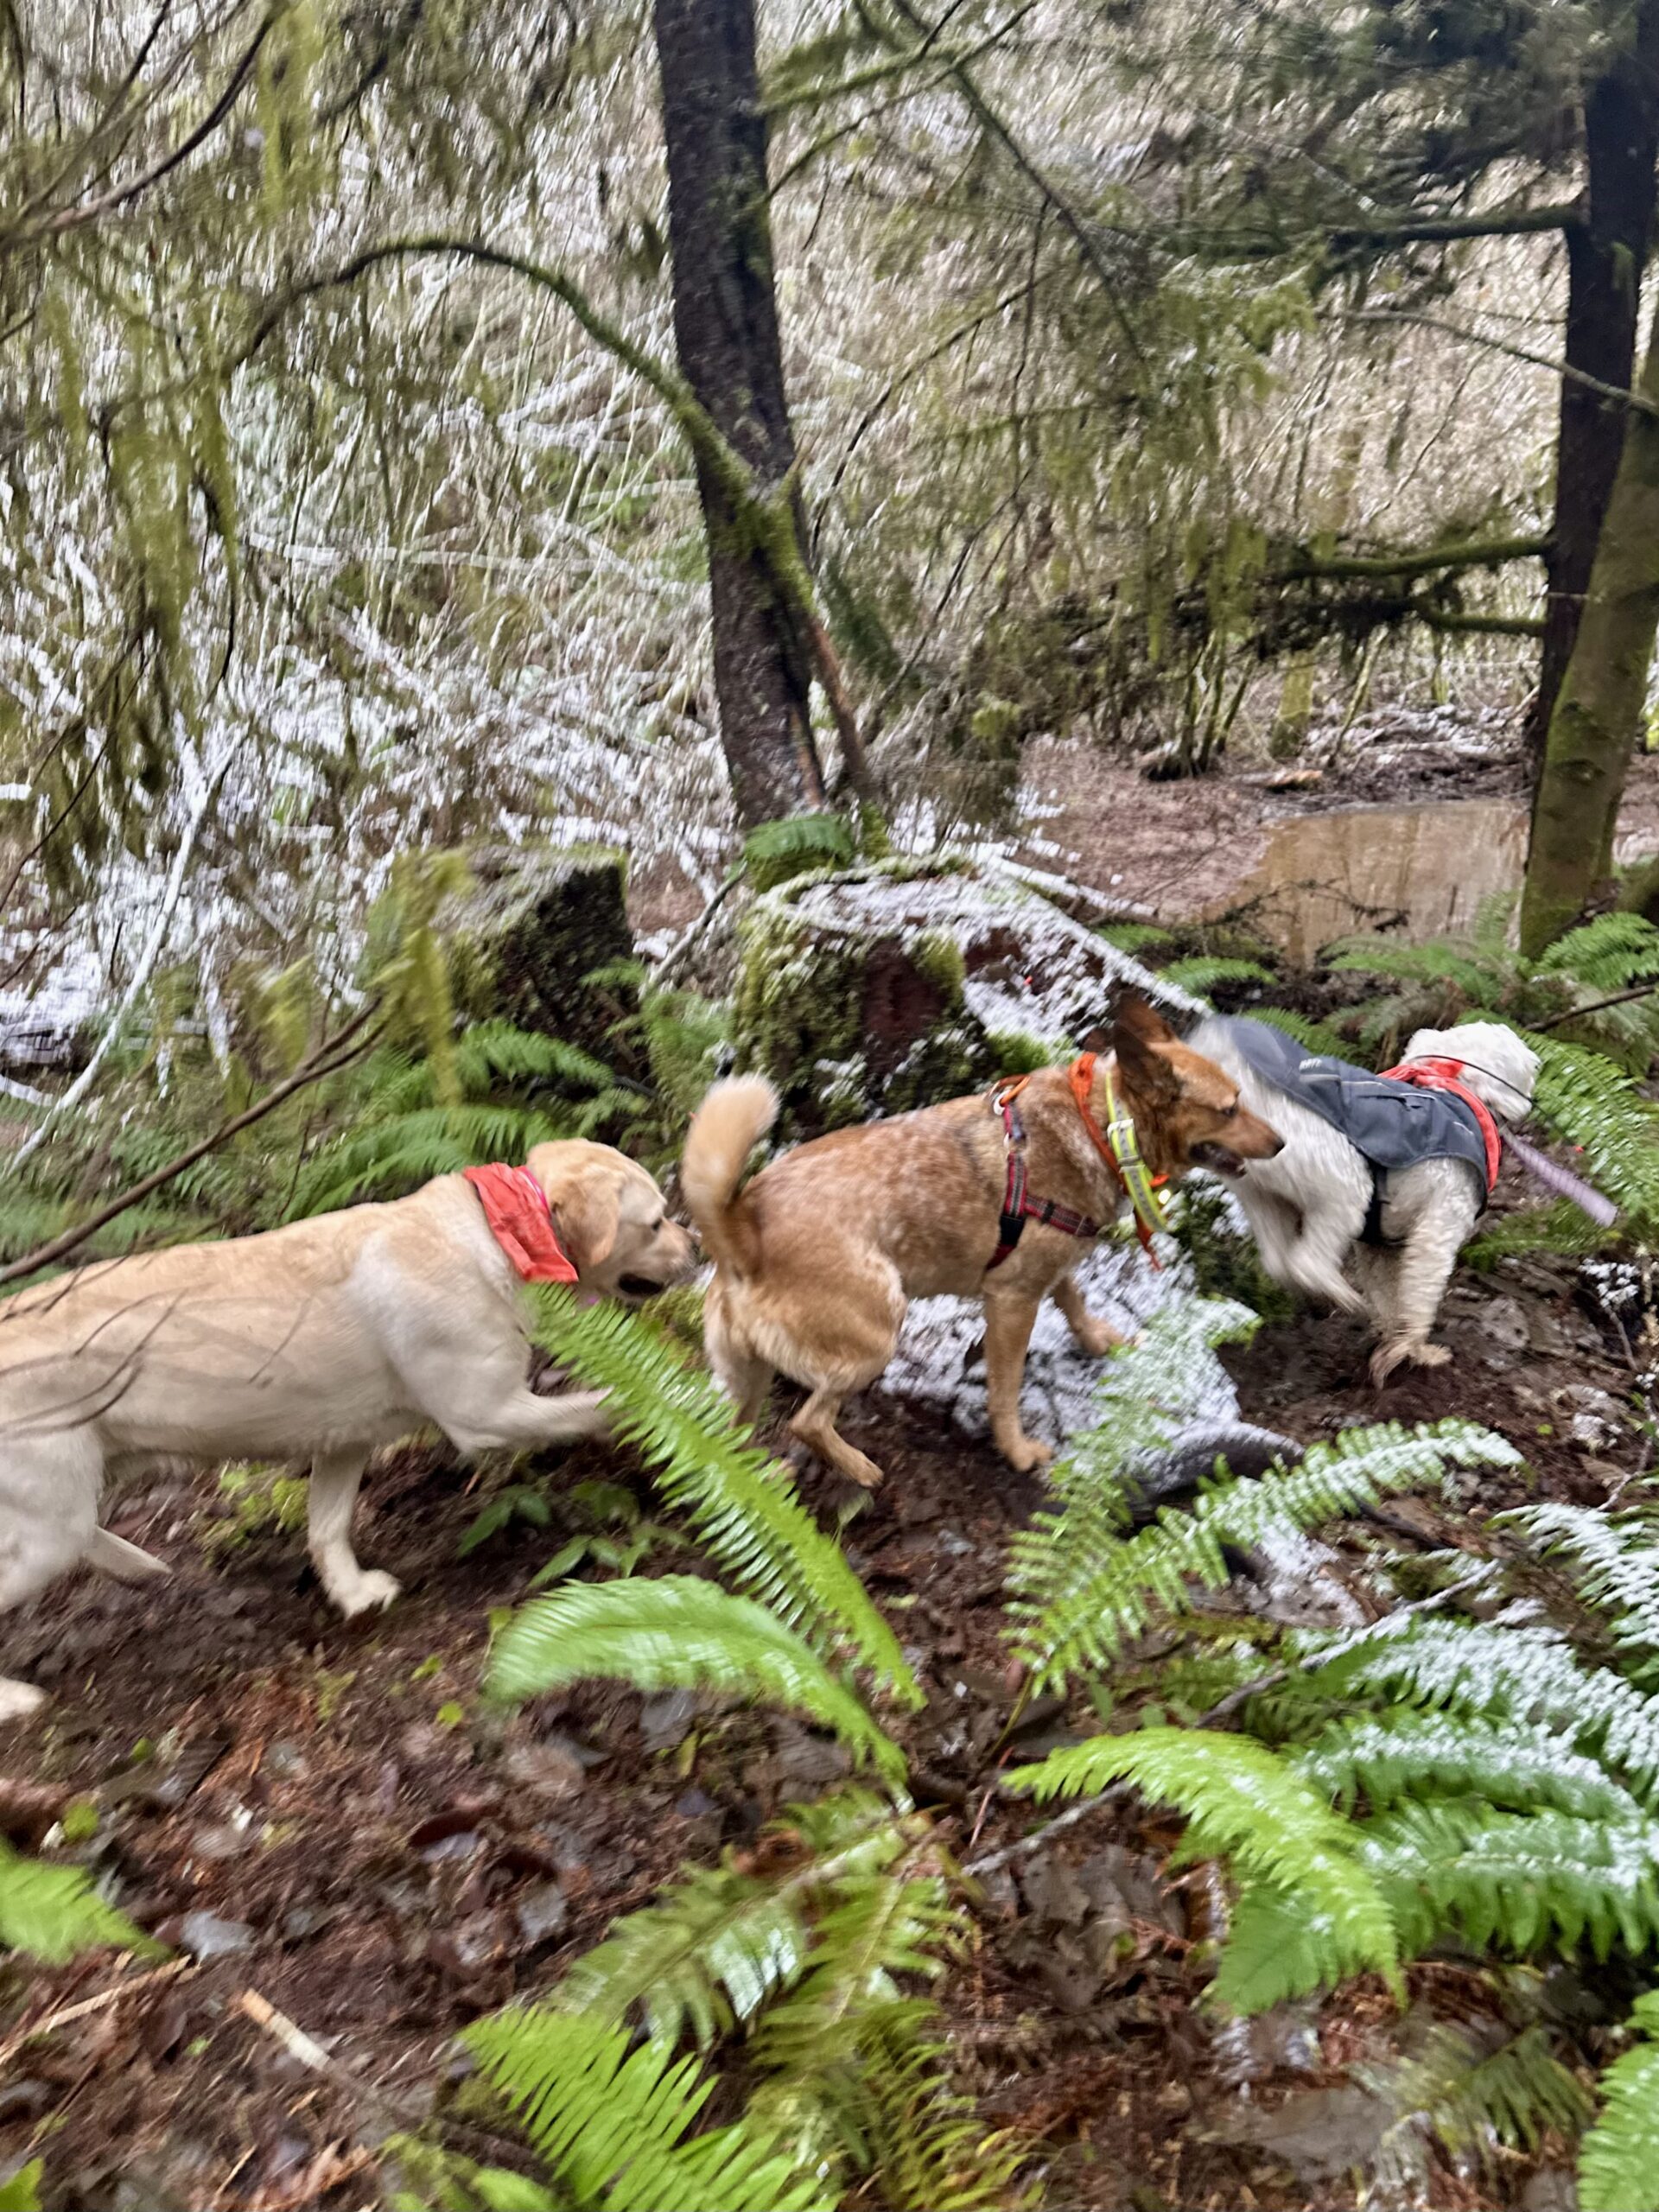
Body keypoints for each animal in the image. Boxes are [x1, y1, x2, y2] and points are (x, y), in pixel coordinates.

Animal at [0, 1141, 694, 1725]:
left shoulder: (343, 1440)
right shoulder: (487, 1413)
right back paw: (17, 1699)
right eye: (657, 1222)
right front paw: (689, 1396)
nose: (696, 1243)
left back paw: (140, 1567)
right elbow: (599, 1406)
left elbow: (328, 1527)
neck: (498, 1233)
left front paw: (353, 1593)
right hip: (49, 1523)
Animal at [681, 1000, 1282, 1486]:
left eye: (1241, 1100)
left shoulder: (1046, 1270)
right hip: (876, 1335)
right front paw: (1016, 1451)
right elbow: (1004, 1391)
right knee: (807, 1421)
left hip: (748, 1379)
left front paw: (1095, 1338)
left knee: (737, 1434)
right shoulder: (1012, 1301)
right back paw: (861, 1470)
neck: (1101, 1127)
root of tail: (741, 1231)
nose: (1280, 1142)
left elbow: (1073, 1296)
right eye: (1229, 1109)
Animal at [1185, 1017, 1539, 1380]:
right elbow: (1420, 1292)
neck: (1454, 1087)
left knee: (1277, 1260)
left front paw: (1390, 1334)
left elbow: (1388, 1293)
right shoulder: (1440, 1224)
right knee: (1307, 1262)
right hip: (1344, 1183)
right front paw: (1417, 1351)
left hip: (1262, 1195)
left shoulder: (1378, 1245)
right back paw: (1345, 1297)